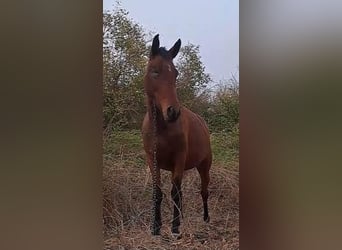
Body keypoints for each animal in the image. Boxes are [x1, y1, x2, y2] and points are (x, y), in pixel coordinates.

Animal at [141, 34, 211, 235]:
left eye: (176, 73)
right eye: (155, 72)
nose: (173, 112)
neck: (161, 129)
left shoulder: (179, 158)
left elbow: (175, 192)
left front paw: (174, 226)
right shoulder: (152, 159)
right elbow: (158, 192)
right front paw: (156, 227)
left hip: (205, 166)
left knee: (204, 191)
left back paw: (205, 218)